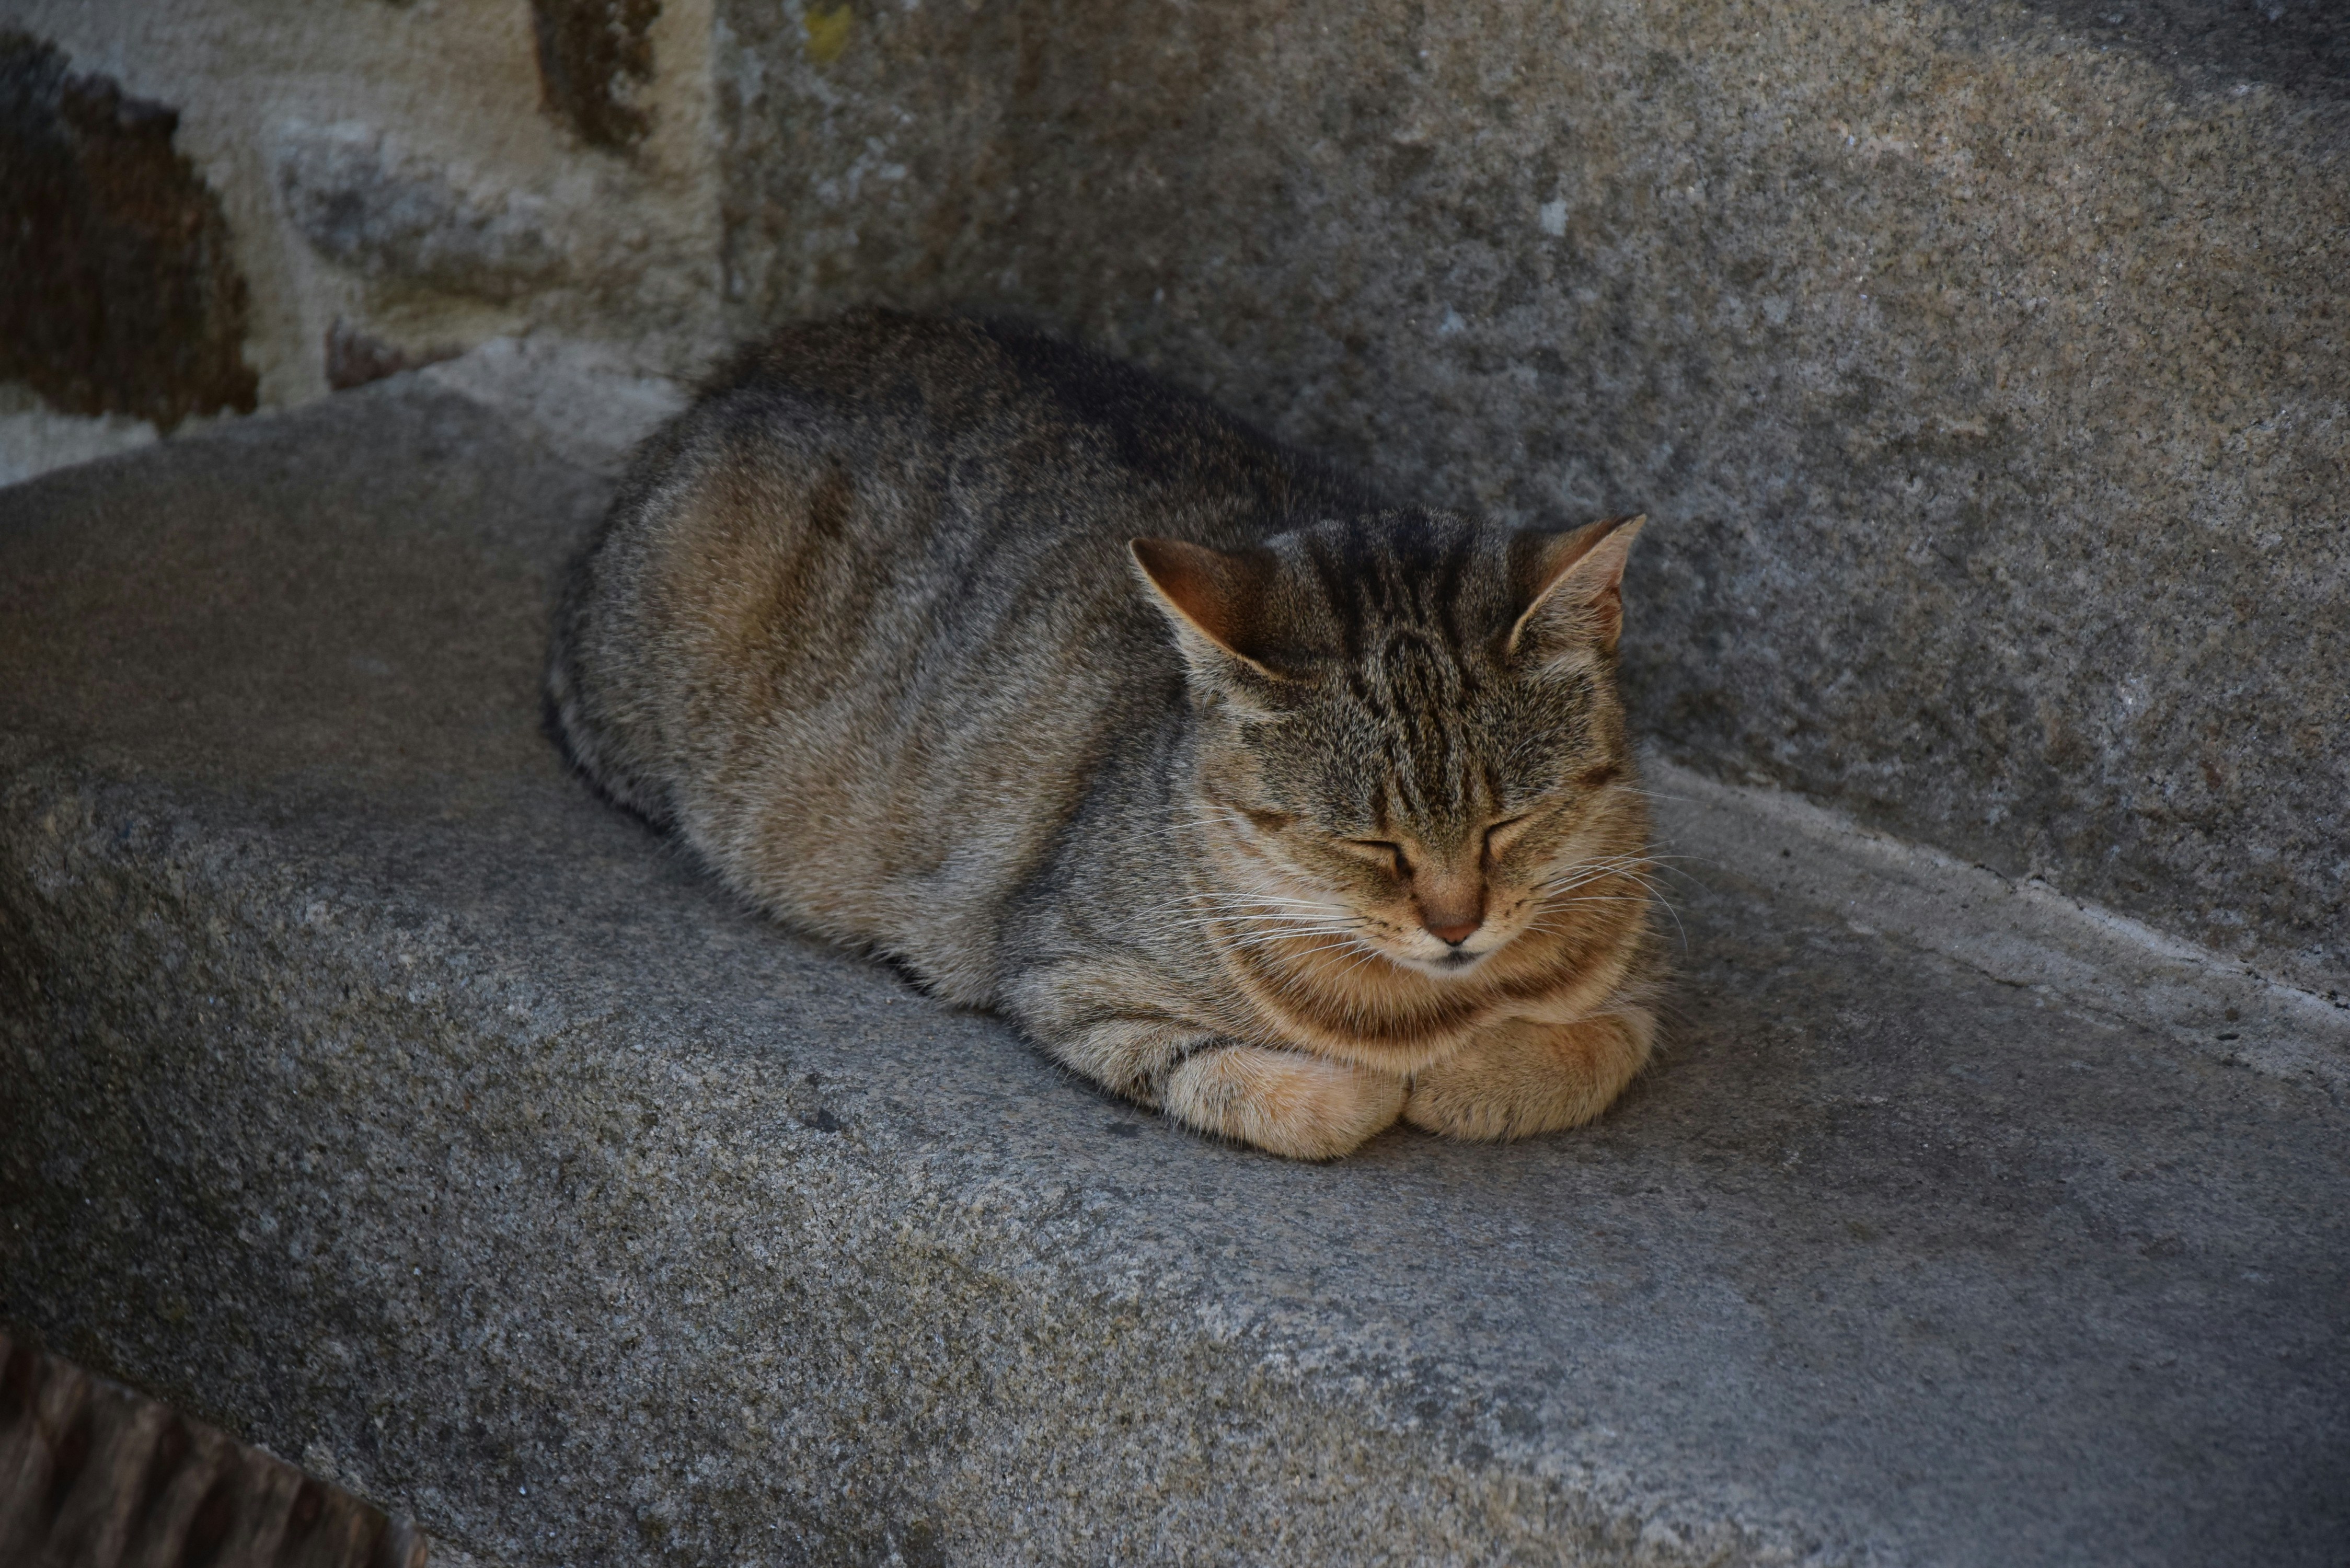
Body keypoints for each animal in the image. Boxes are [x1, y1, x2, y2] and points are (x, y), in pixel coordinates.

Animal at [547, 310, 1664, 1159]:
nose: (1455, 926)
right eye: (1366, 843)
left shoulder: (1637, 980)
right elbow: (1281, 1092)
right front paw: (1387, 1084)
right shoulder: (1063, 976)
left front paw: (1477, 1075)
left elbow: (1606, 1045)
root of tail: (742, 366)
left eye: (1511, 824)